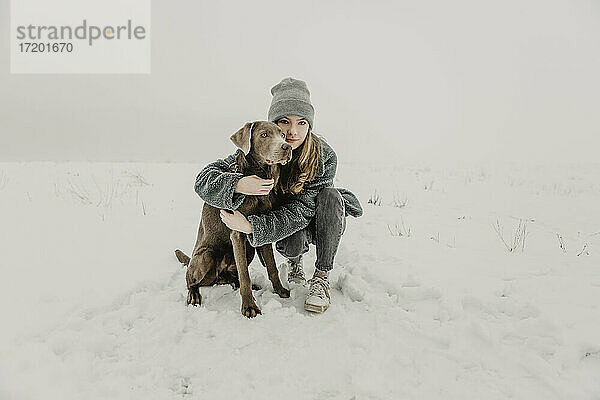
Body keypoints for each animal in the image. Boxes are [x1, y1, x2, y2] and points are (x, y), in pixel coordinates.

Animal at [173, 122, 292, 318]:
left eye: (282, 134)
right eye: (264, 135)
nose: (287, 147)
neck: (258, 175)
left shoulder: (259, 230)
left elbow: (272, 267)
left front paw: (281, 291)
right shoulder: (237, 232)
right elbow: (245, 275)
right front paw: (249, 307)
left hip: (249, 250)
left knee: (235, 277)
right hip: (205, 257)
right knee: (191, 280)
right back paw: (194, 296)